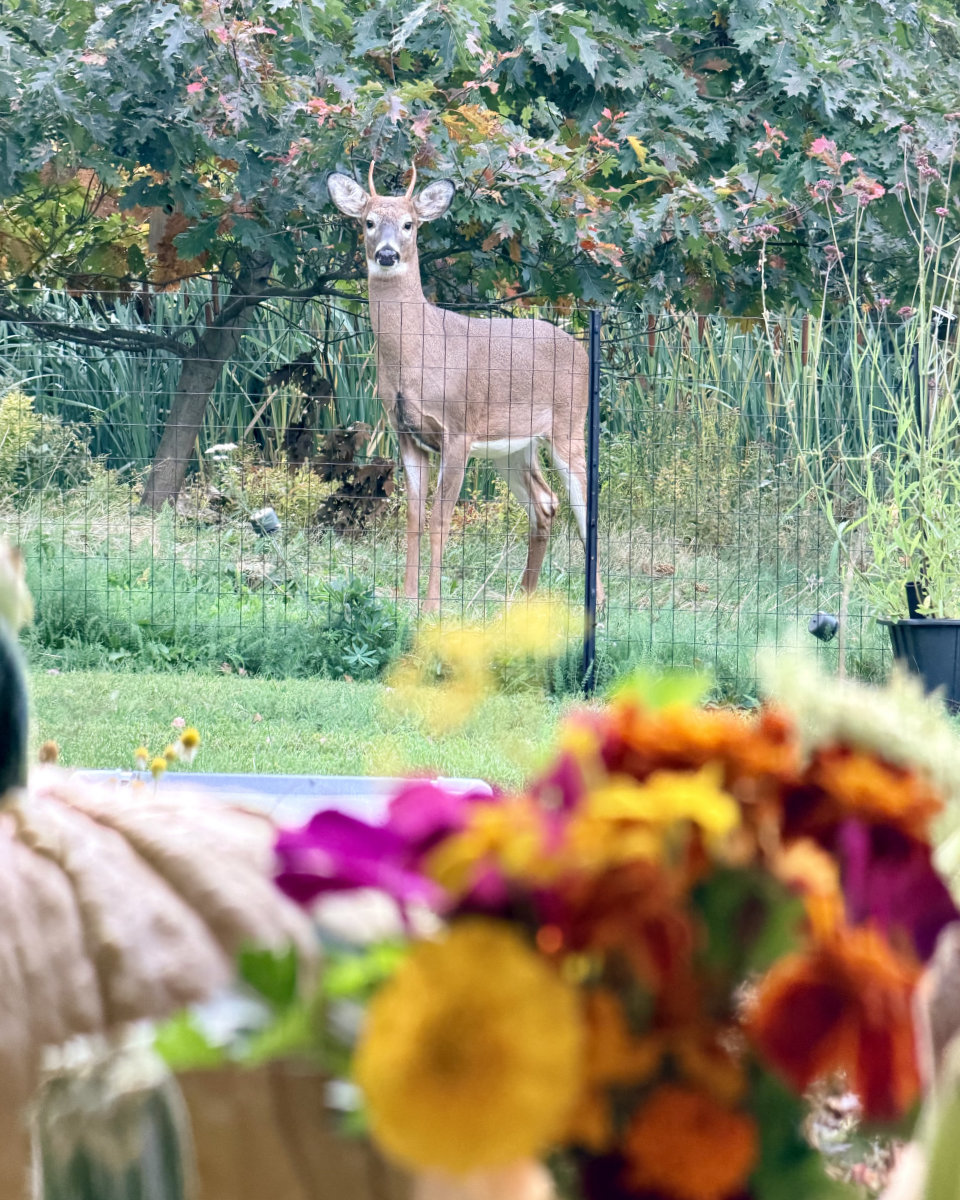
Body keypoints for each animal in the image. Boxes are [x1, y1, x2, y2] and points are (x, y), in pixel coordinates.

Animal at [327, 164, 602, 613]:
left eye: (409, 224)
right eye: (368, 222)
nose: (387, 254)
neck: (419, 351)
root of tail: (580, 349)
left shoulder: (458, 430)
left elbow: (441, 518)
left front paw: (432, 606)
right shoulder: (406, 432)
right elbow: (415, 515)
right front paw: (407, 599)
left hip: (568, 425)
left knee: (584, 506)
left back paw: (595, 608)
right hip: (514, 447)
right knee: (545, 503)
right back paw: (522, 601)